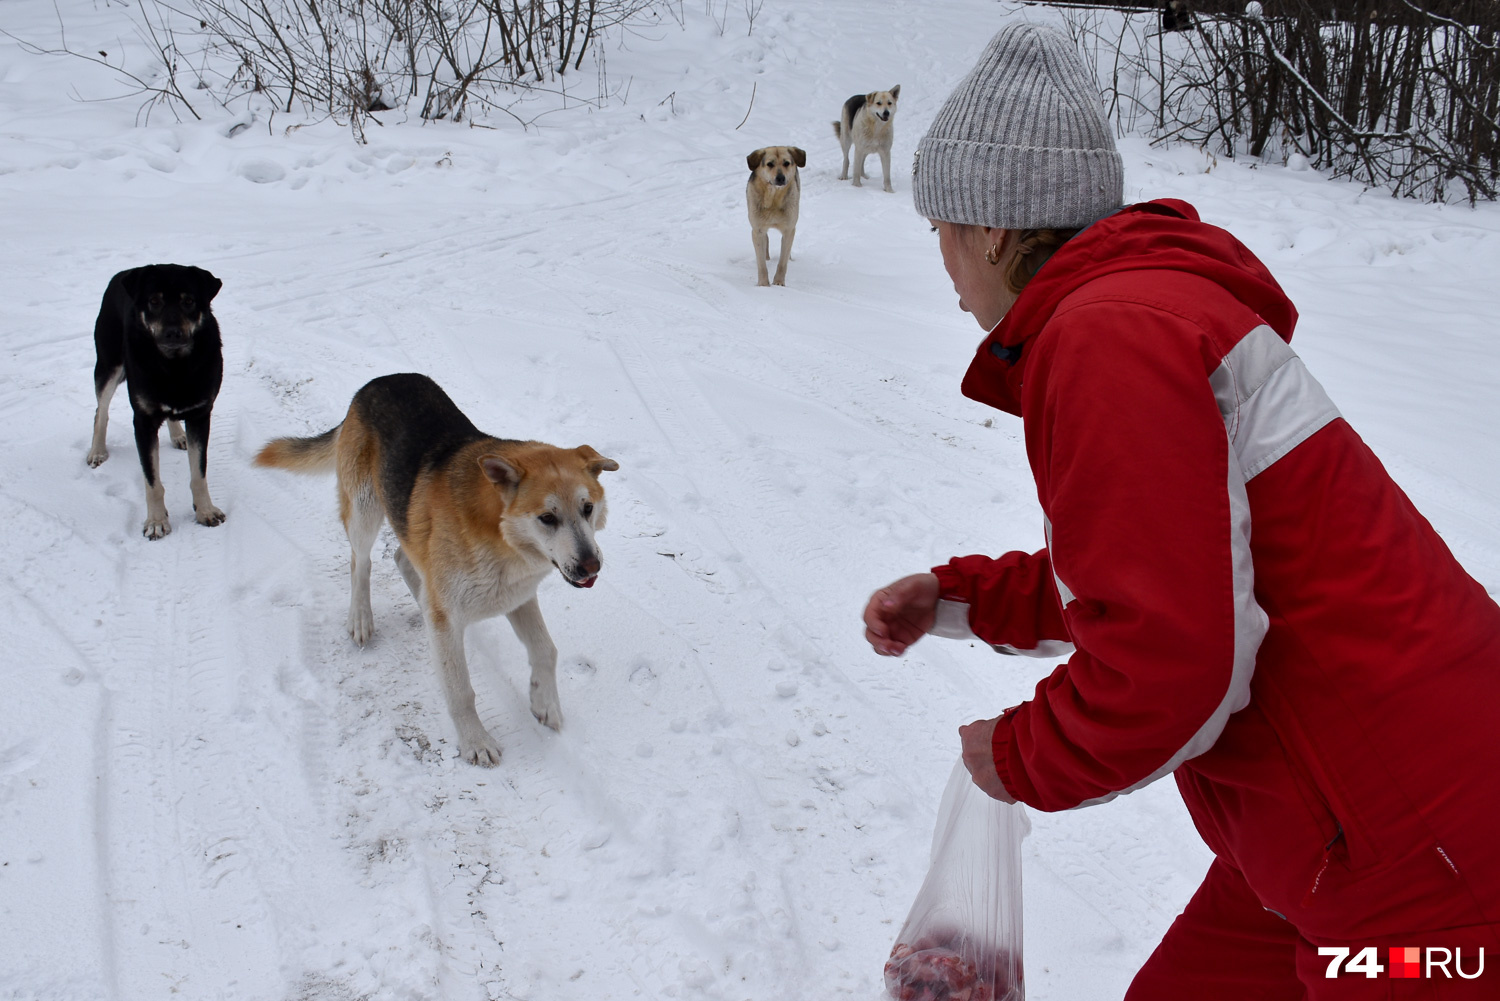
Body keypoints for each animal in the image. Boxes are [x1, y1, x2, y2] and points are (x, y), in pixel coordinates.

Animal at [87, 262, 226, 537]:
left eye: (189, 301)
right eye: (154, 301)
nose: (173, 333)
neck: (174, 367)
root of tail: (122, 274)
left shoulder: (200, 414)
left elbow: (199, 474)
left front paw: (205, 511)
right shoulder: (143, 421)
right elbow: (152, 481)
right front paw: (156, 521)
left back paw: (178, 435)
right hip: (109, 364)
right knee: (101, 411)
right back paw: (97, 451)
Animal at [255, 375, 618, 768]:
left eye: (588, 508)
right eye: (547, 518)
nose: (591, 566)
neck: (499, 536)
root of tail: (375, 382)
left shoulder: (518, 596)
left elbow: (546, 650)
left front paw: (544, 702)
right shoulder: (460, 616)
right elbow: (461, 691)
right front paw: (475, 741)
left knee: (402, 558)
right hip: (365, 511)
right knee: (360, 563)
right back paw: (361, 617)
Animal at [744, 144, 804, 288]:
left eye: (786, 163)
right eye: (769, 164)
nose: (780, 178)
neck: (773, 199)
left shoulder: (789, 229)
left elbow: (782, 262)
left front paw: (779, 282)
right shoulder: (757, 229)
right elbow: (761, 263)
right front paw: (763, 285)